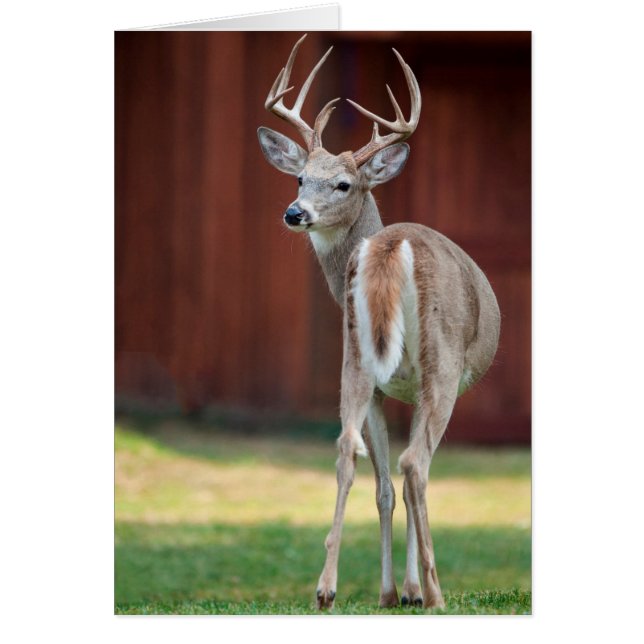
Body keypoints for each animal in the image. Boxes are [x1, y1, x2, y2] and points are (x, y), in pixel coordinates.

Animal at [257, 34, 500, 611]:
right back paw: (434, 592)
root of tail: (390, 248)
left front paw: (392, 591)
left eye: (343, 184)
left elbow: (383, 485)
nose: (295, 212)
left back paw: (327, 590)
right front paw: (411, 590)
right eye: (300, 177)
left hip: (357, 356)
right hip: (441, 357)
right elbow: (408, 478)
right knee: (416, 465)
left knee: (350, 449)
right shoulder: (427, 380)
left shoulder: (389, 386)